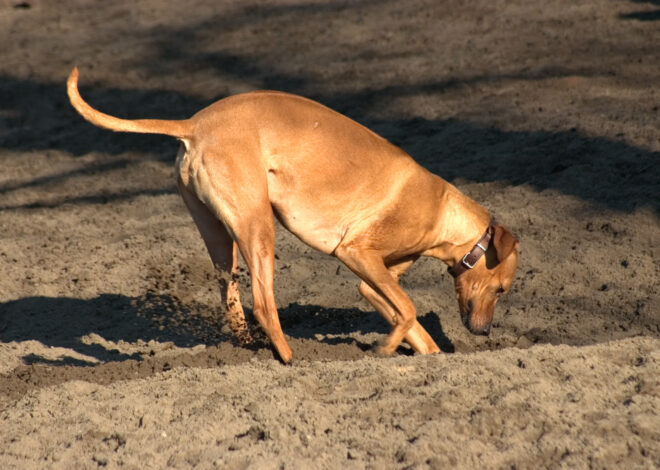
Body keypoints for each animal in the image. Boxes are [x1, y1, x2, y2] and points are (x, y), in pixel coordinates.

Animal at [68, 68, 520, 364]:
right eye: (501, 290)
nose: (484, 332)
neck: (443, 211)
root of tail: (195, 124)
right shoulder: (357, 254)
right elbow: (408, 310)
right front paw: (386, 348)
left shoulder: (374, 279)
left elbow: (407, 317)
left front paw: (431, 355)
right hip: (258, 228)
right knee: (264, 304)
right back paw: (289, 357)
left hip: (220, 237)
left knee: (231, 297)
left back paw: (248, 349)